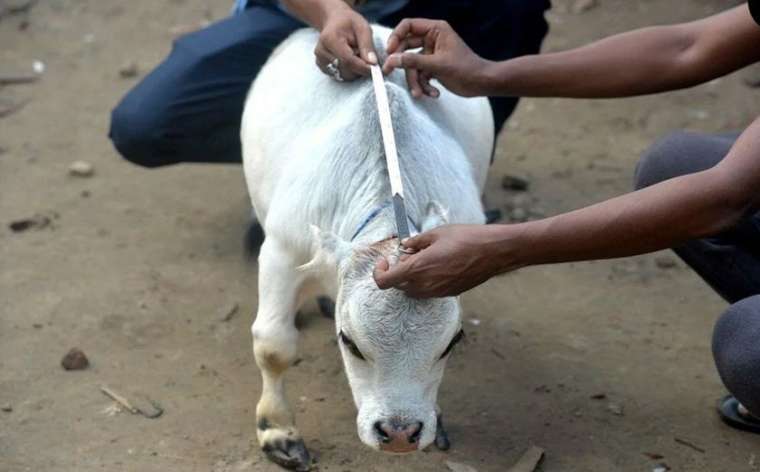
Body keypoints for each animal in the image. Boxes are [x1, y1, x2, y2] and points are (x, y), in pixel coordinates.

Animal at [240, 26, 496, 472]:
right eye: (350, 342)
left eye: (452, 342)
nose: (400, 433)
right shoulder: (282, 253)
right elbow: (274, 346)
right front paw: (278, 430)